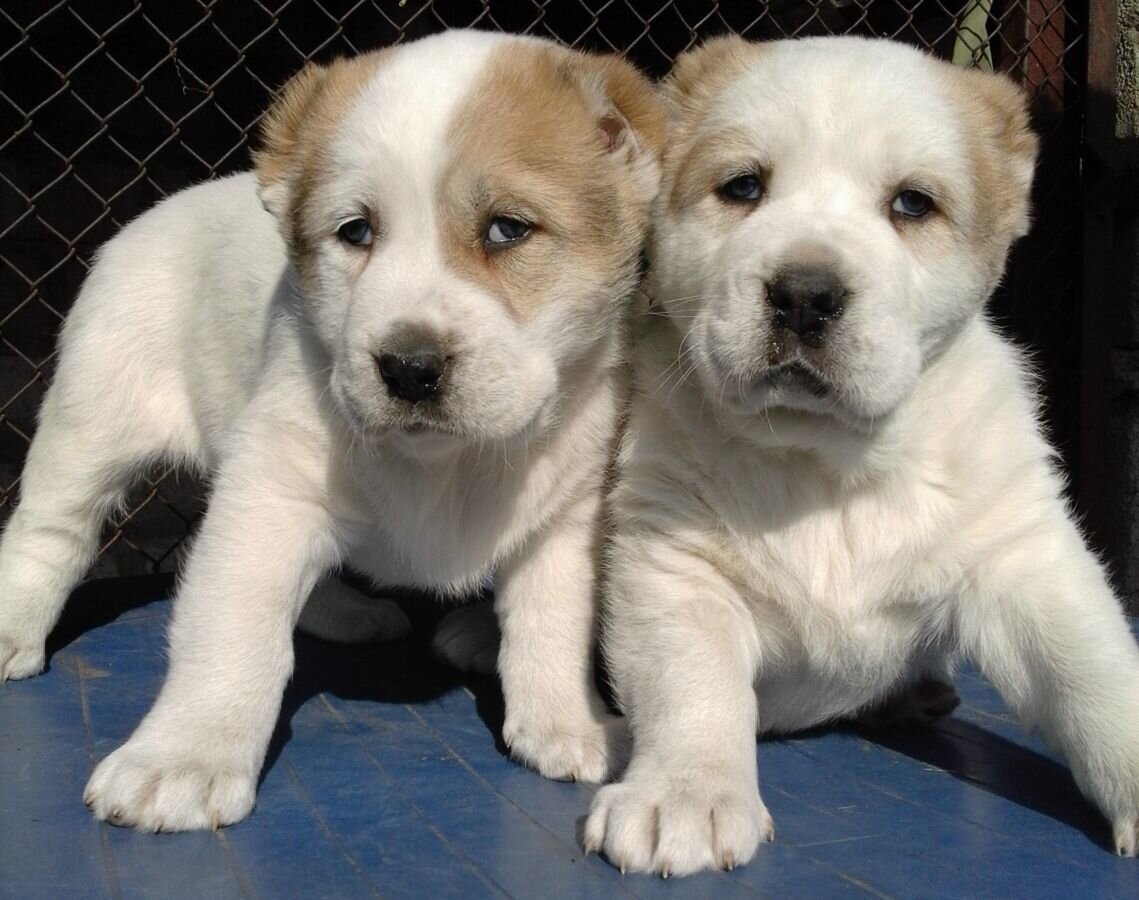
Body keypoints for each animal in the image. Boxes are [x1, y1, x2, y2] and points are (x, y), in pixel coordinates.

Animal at [0, 28, 665, 833]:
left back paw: (348, 614)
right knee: (48, 535)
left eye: (508, 230)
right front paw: (185, 757)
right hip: (92, 428)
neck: (442, 463)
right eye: (356, 232)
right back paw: (12, 630)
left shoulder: (562, 525)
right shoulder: (269, 495)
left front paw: (568, 724)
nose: (409, 368)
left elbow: (552, 626)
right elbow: (232, 632)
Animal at [583, 33, 1139, 874]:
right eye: (742, 187)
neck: (826, 469)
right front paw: (684, 795)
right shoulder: (672, 568)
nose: (804, 294)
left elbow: (1094, 675)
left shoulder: (1022, 559)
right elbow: (693, 685)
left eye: (911, 204)